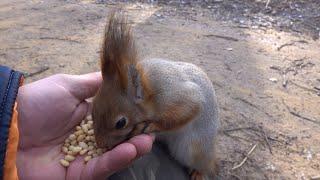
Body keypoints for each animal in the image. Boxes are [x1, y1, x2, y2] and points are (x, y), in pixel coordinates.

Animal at [91, 9, 219, 180]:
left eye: (121, 123)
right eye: (92, 110)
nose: (99, 143)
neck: (149, 92)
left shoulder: (176, 97)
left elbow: (188, 111)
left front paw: (152, 125)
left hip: (195, 150)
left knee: (205, 165)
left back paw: (200, 172)